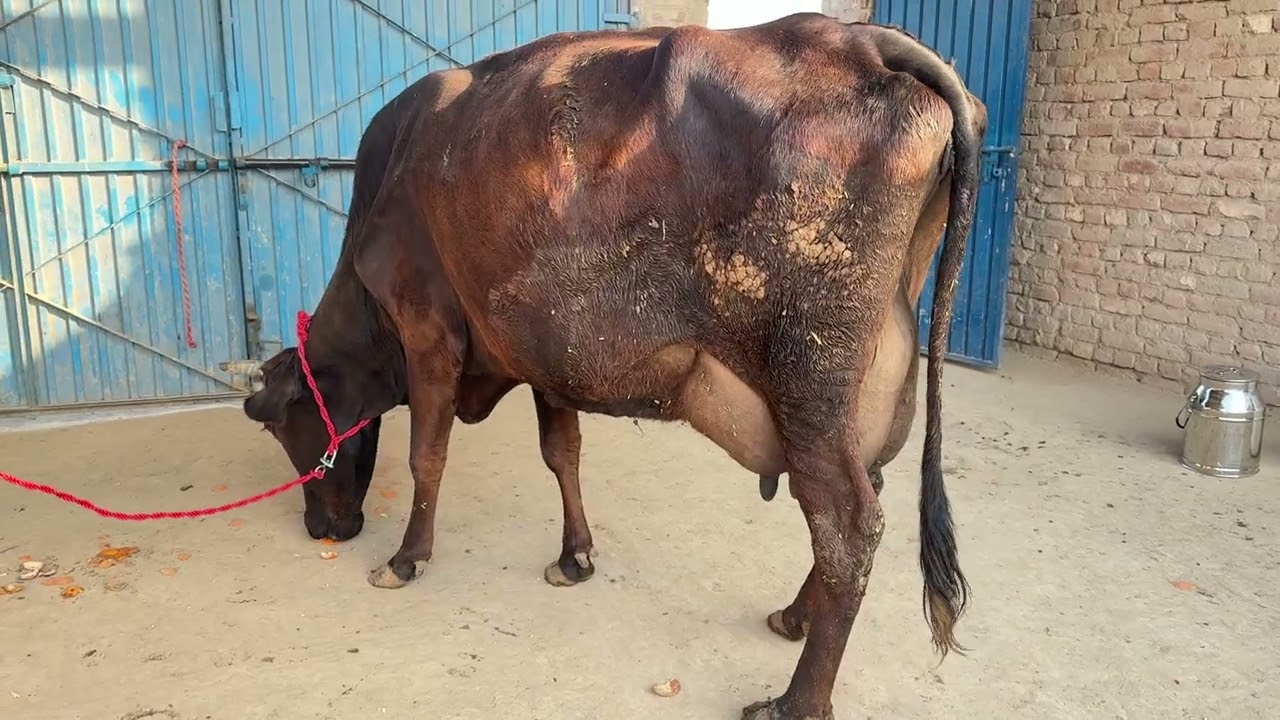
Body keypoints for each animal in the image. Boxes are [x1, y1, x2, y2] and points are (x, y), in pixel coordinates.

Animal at [239, 13, 985, 719]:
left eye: (282, 427)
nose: (321, 527)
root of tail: (863, 41)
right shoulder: (545, 350)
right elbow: (561, 453)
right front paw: (575, 557)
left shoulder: (428, 332)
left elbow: (429, 455)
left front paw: (404, 559)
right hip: (858, 386)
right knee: (863, 498)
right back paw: (795, 617)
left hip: (810, 376)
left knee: (848, 523)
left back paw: (796, 700)